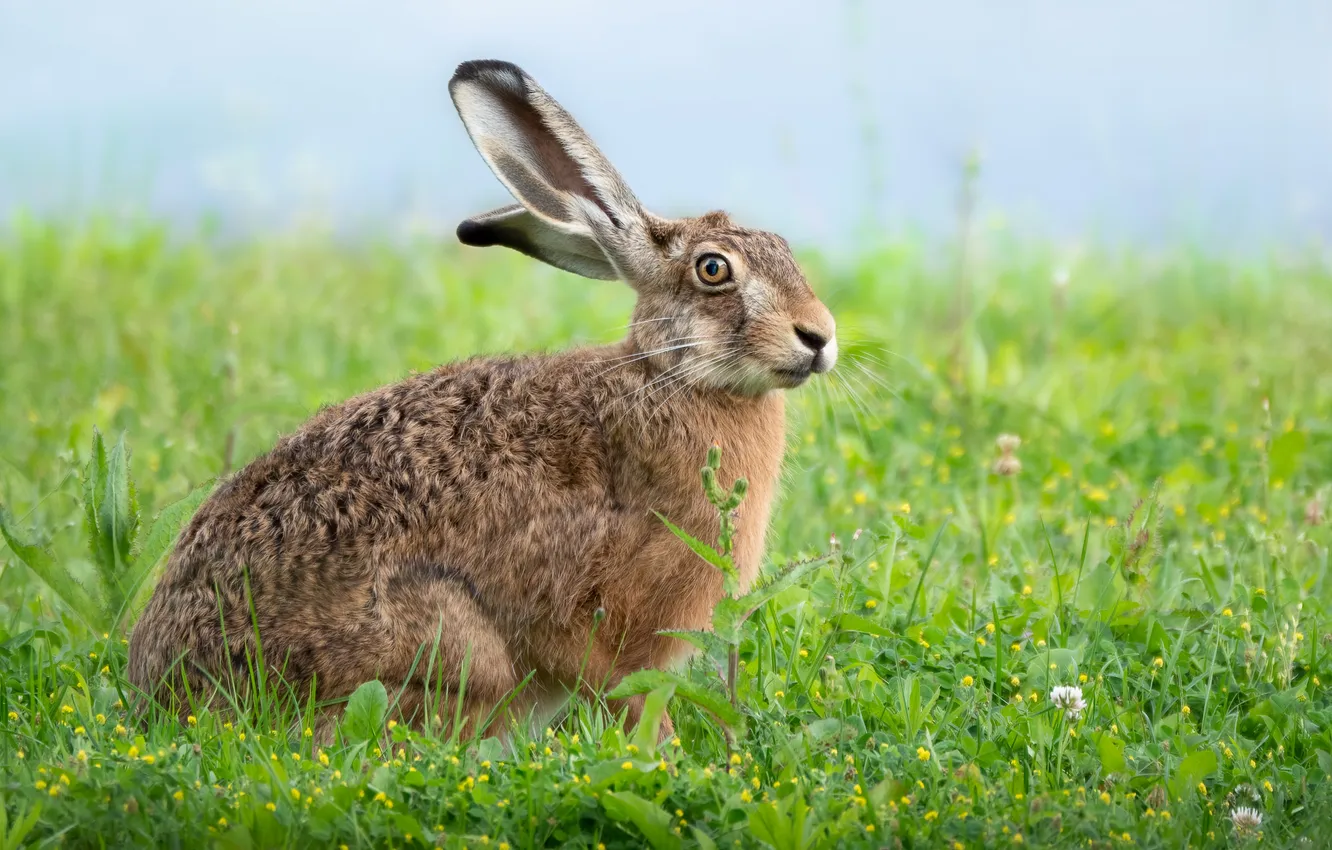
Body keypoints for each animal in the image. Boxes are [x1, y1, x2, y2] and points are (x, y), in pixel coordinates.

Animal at [128, 59, 837, 741]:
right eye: (713, 270)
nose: (820, 336)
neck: (671, 377)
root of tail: (160, 700)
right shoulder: (589, 608)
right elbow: (625, 692)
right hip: (445, 640)